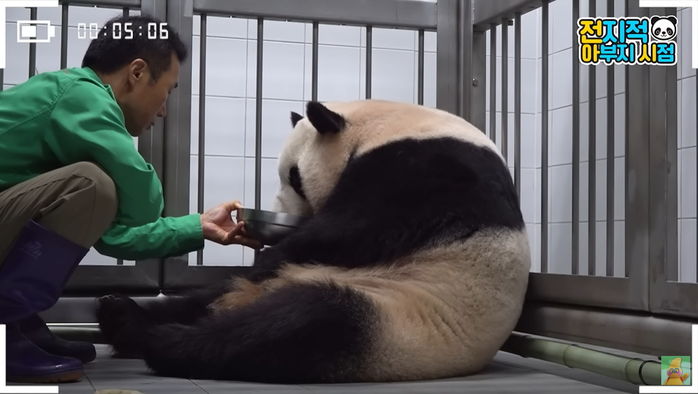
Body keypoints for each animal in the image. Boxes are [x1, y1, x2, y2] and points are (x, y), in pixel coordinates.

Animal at [98, 100, 528, 384]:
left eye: (294, 176)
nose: (279, 212)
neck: (386, 123)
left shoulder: (433, 169)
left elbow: (359, 228)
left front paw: (279, 248)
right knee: (205, 299)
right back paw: (121, 315)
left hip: (397, 318)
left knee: (300, 322)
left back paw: (163, 341)